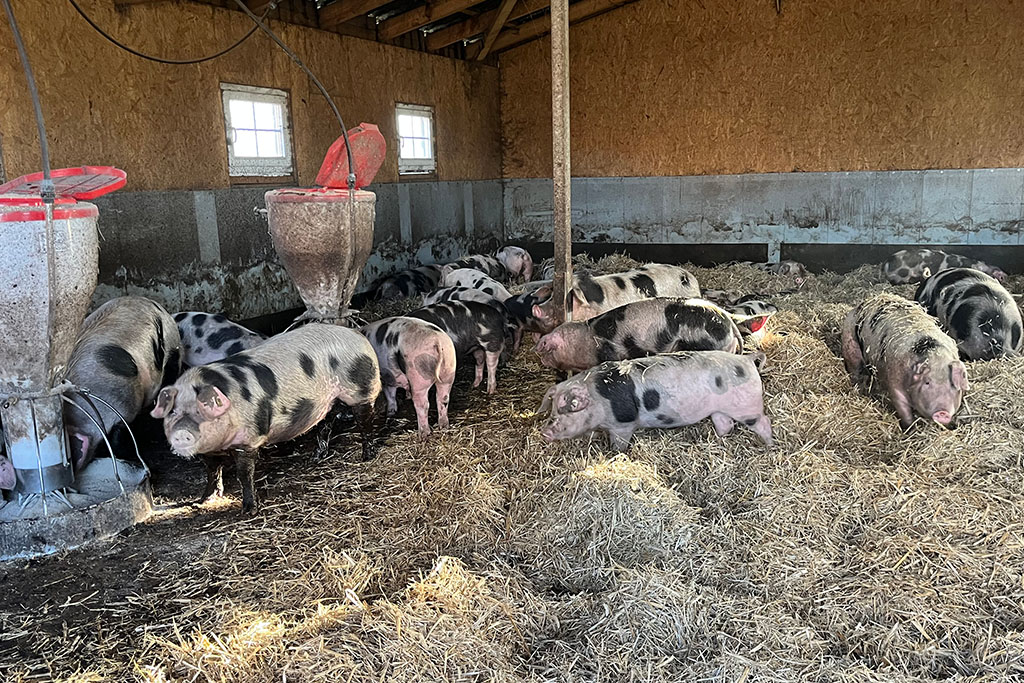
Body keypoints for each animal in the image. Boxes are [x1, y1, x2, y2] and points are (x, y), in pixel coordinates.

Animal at [150, 323, 381, 513]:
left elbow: (244, 473)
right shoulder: (209, 451)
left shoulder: (249, 437)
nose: (182, 433)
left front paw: (249, 511)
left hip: (361, 389)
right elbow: (212, 471)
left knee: (366, 421)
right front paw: (202, 502)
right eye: (173, 411)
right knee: (326, 422)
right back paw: (316, 457)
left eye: (201, 410)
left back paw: (367, 456)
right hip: (328, 401)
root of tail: (357, 335)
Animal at [538, 351, 773, 451]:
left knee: (764, 422)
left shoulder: (623, 424)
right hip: (719, 410)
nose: (545, 432)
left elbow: (619, 444)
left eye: (569, 407)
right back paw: (719, 441)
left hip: (748, 408)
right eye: (552, 409)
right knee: (725, 424)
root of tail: (747, 359)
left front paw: (615, 454)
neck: (598, 398)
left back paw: (769, 446)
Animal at [841, 293, 968, 429]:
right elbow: (903, 409)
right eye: (927, 382)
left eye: (952, 385)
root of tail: (867, 301)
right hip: (850, 343)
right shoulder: (894, 381)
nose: (942, 412)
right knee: (854, 369)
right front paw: (911, 429)